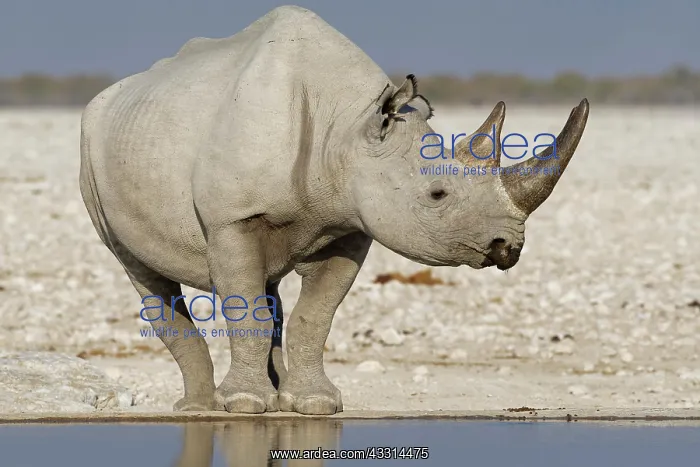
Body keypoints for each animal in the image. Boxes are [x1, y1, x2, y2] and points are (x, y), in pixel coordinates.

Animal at [79, 5, 589, 415]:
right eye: (437, 195)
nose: (508, 247)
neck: (346, 126)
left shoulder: (351, 223)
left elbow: (315, 317)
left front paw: (315, 404)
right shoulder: (232, 220)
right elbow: (246, 312)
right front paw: (243, 405)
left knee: (269, 293)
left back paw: (271, 396)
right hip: (93, 149)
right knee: (141, 271)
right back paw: (199, 408)